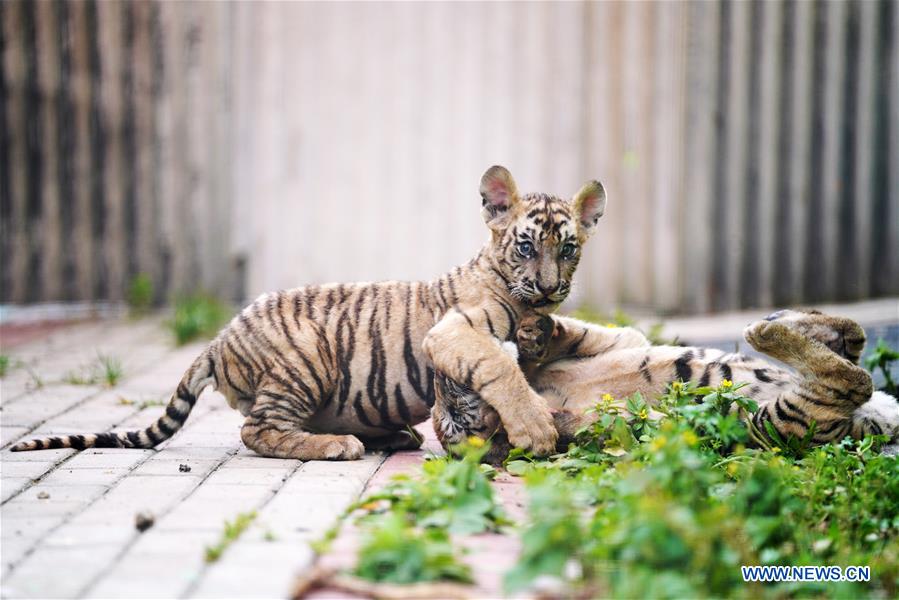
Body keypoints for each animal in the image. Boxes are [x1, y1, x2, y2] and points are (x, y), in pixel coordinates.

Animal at [11, 165, 608, 460]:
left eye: (568, 248)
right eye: (526, 246)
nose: (550, 287)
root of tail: (218, 341)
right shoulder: (451, 333)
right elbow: (499, 366)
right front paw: (535, 429)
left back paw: (391, 437)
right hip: (307, 357)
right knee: (257, 431)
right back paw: (339, 446)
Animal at [432, 308, 899, 463]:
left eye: (450, 406)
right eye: (456, 417)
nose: (439, 377)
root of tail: (876, 426)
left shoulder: (621, 339)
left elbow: (576, 334)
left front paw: (534, 332)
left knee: (853, 343)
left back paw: (787, 319)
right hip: (782, 422)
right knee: (849, 378)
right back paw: (766, 331)